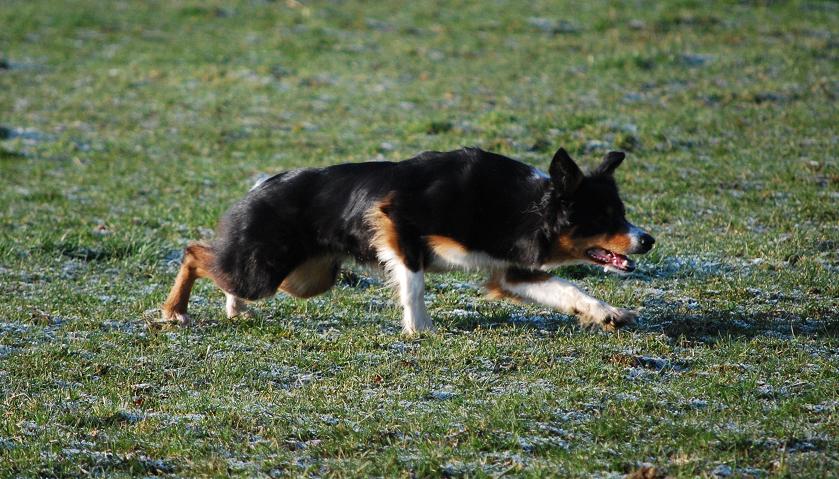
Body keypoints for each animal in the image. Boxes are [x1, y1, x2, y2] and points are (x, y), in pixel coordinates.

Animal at [162, 147, 655, 333]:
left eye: (621, 212)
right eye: (604, 217)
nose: (648, 240)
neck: (525, 204)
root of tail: (260, 186)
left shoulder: (511, 272)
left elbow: (569, 289)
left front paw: (607, 313)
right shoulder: (395, 218)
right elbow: (413, 282)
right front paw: (419, 329)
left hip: (304, 278)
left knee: (224, 274)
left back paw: (233, 309)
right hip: (266, 270)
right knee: (194, 253)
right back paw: (175, 311)